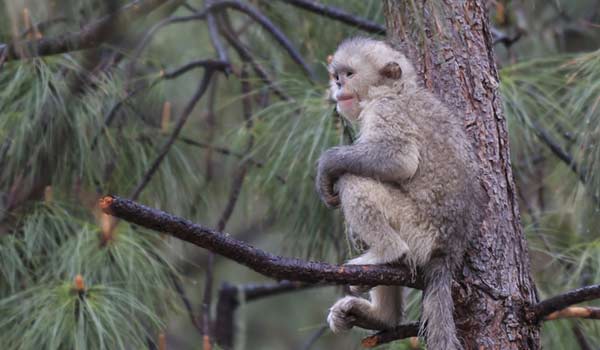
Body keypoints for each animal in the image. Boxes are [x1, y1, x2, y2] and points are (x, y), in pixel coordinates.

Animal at [316, 37, 486, 350]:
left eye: (349, 74)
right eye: (337, 76)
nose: (338, 85)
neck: (395, 90)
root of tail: (449, 250)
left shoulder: (387, 109)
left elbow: (399, 158)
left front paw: (328, 165)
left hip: (417, 229)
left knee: (355, 180)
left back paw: (387, 253)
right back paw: (381, 316)